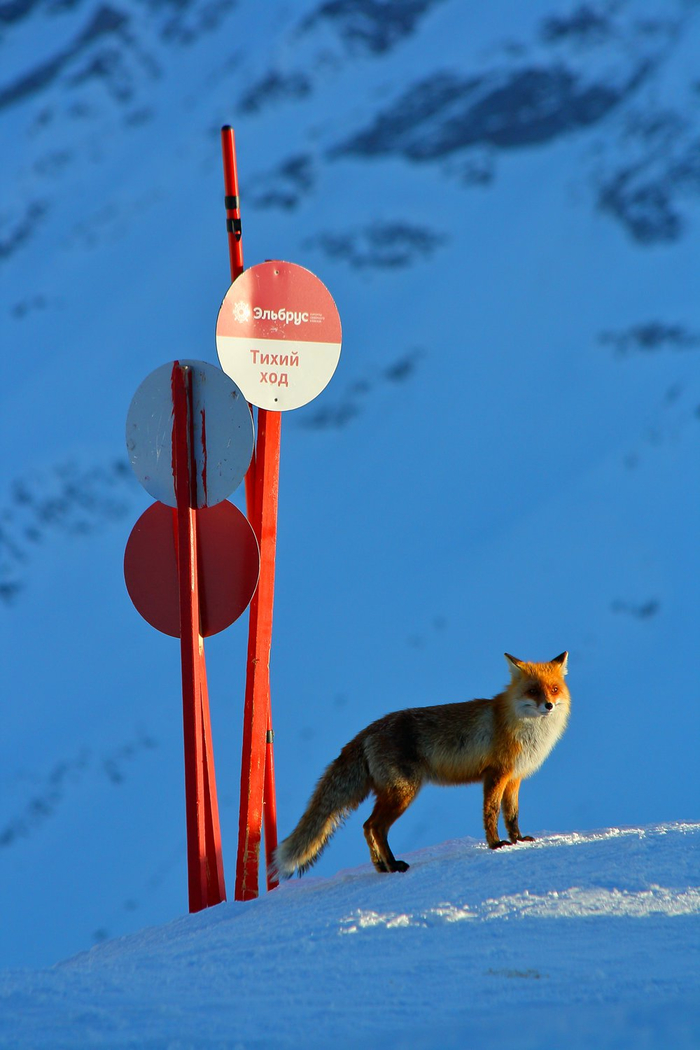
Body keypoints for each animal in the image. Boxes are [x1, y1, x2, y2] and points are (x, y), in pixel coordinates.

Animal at [270, 651, 570, 873]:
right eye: (533, 691)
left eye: (554, 689)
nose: (548, 706)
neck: (524, 729)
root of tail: (368, 730)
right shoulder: (496, 775)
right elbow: (491, 813)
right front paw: (496, 844)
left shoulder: (515, 777)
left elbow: (512, 814)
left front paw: (518, 840)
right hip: (403, 792)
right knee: (376, 826)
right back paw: (393, 864)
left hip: (392, 794)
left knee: (366, 826)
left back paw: (381, 866)